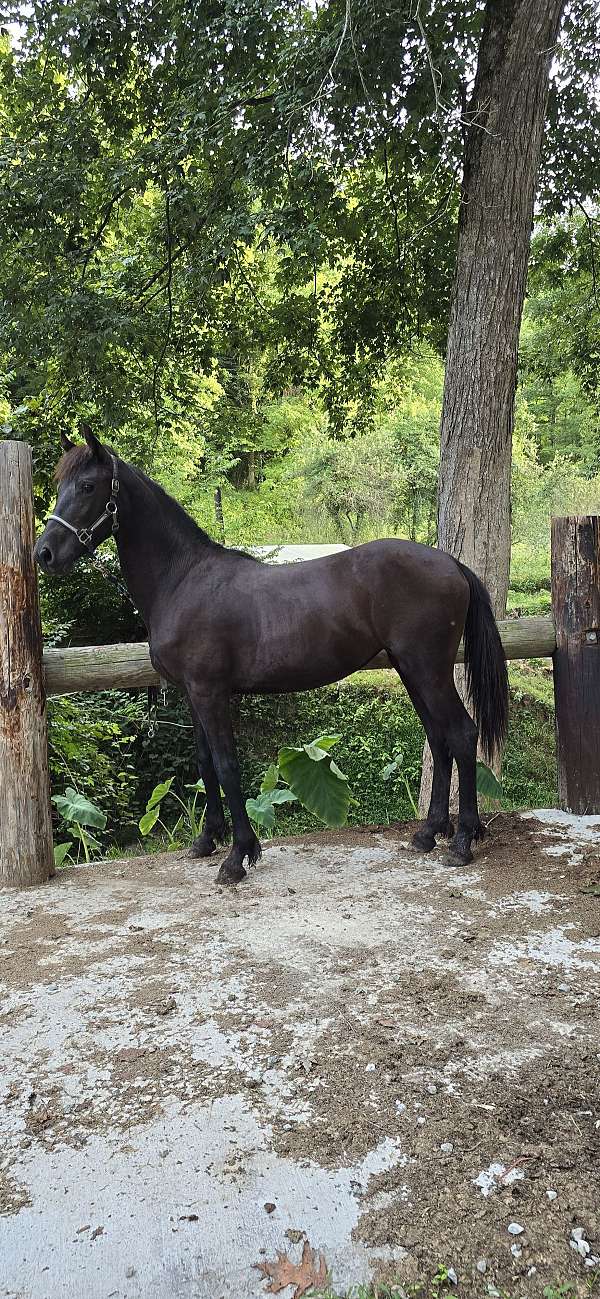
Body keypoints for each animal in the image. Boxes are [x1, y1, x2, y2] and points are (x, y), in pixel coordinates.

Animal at [35, 426, 509, 883]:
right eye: (60, 486)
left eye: (88, 486)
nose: (45, 554)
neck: (183, 579)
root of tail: (451, 564)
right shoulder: (191, 694)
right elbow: (205, 764)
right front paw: (207, 841)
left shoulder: (211, 693)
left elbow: (227, 766)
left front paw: (238, 857)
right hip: (411, 669)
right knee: (438, 737)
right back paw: (428, 833)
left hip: (428, 670)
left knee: (462, 735)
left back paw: (462, 842)